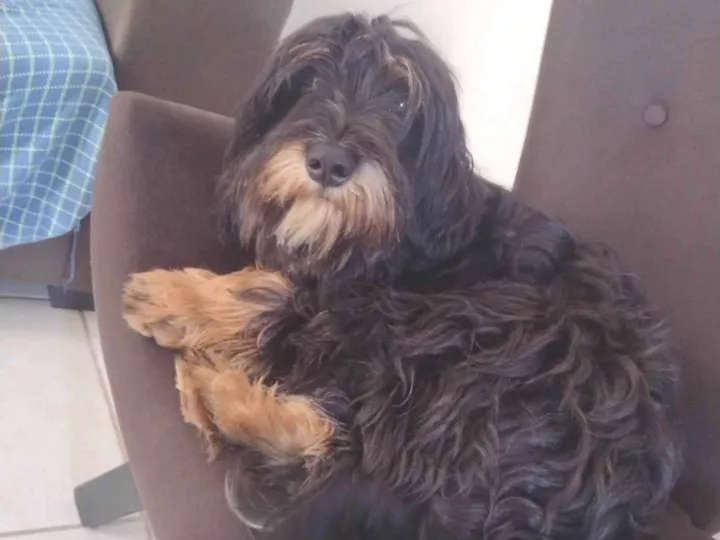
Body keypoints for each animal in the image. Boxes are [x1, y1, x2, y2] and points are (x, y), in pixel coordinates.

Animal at [122, 13, 682, 540]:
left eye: (398, 104)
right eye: (309, 80)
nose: (329, 163)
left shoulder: (361, 301)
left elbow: (274, 294)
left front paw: (171, 296)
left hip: (472, 333)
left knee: (343, 442)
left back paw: (219, 395)